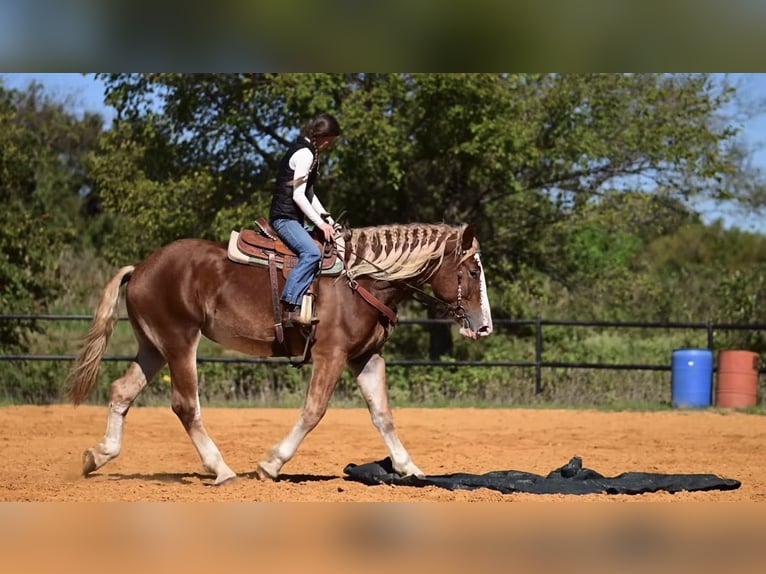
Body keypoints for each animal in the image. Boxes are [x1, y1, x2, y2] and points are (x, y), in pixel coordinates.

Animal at [66, 222, 493, 484]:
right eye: (473, 271)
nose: (484, 325)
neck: (362, 280)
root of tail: (140, 268)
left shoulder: (366, 358)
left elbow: (383, 416)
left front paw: (410, 469)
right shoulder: (332, 354)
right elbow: (313, 411)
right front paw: (270, 464)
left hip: (153, 347)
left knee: (122, 391)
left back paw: (97, 456)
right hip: (179, 341)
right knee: (185, 405)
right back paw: (222, 470)